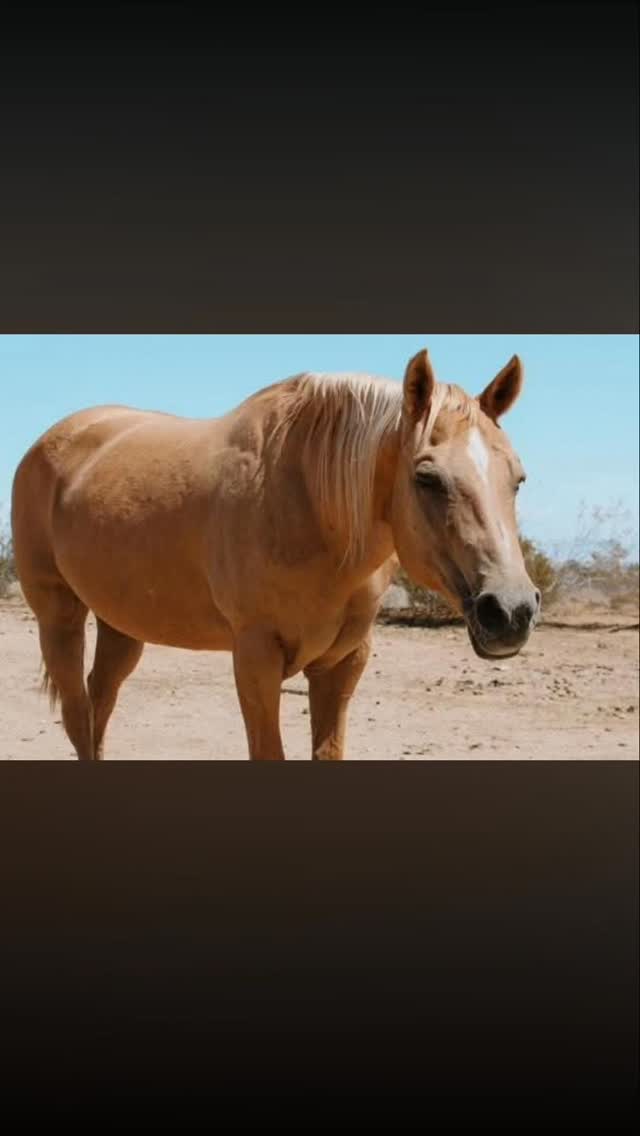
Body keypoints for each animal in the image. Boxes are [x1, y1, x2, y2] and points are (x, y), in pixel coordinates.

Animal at [11, 348, 540, 761]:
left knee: (99, 704)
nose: (511, 611)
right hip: (58, 615)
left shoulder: (342, 663)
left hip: (122, 624)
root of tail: (50, 441)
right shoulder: (255, 658)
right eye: (426, 478)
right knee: (78, 714)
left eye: (517, 478)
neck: (306, 501)